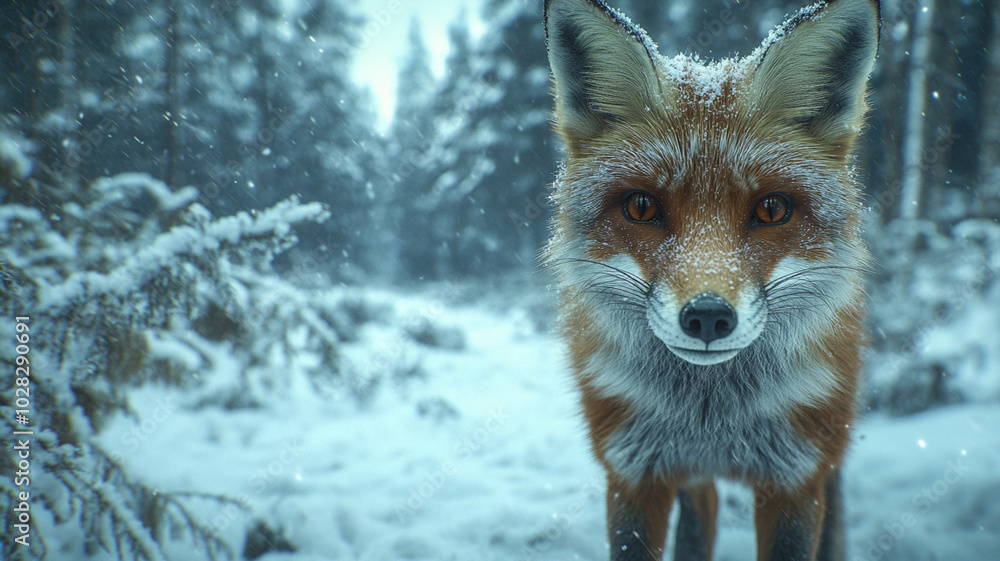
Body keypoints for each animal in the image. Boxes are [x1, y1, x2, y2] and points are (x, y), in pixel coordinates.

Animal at [542, 0, 880, 560]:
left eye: (771, 209)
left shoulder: (797, 476)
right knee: (704, 508)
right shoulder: (633, 471)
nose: (706, 317)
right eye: (641, 206)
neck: (711, 419)